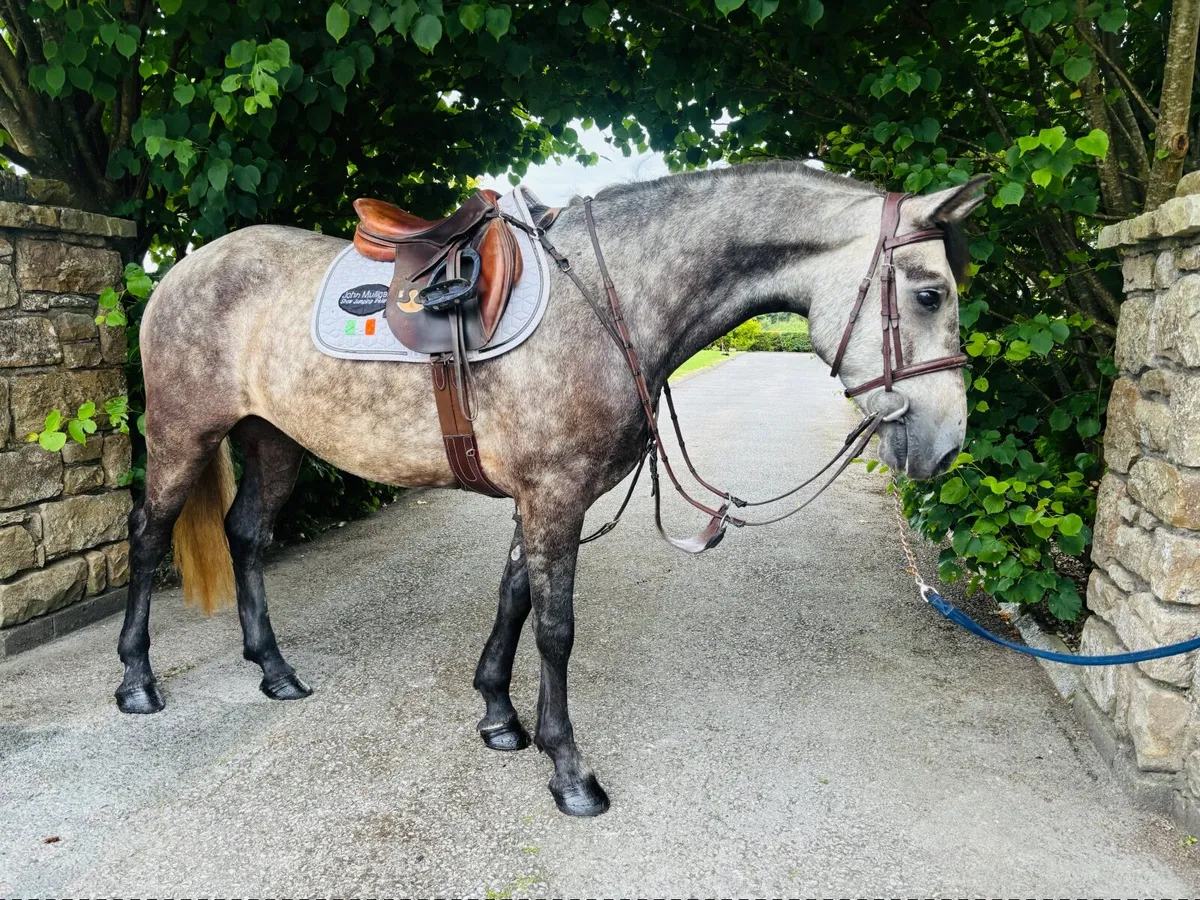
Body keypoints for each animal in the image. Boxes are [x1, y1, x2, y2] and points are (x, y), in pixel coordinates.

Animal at [117, 161, 986, 816]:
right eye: (930, 294)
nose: (946, 446)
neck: (613, 297)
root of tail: (182, 267)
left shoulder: (540, 499)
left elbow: (513, 600)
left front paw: (501, 718)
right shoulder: (555, 495)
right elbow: (556, 628)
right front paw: (568, 770)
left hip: (274, 441)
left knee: (246, 535)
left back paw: (274, 669)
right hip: (183, 436)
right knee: (148, 535)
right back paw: (137, 682)